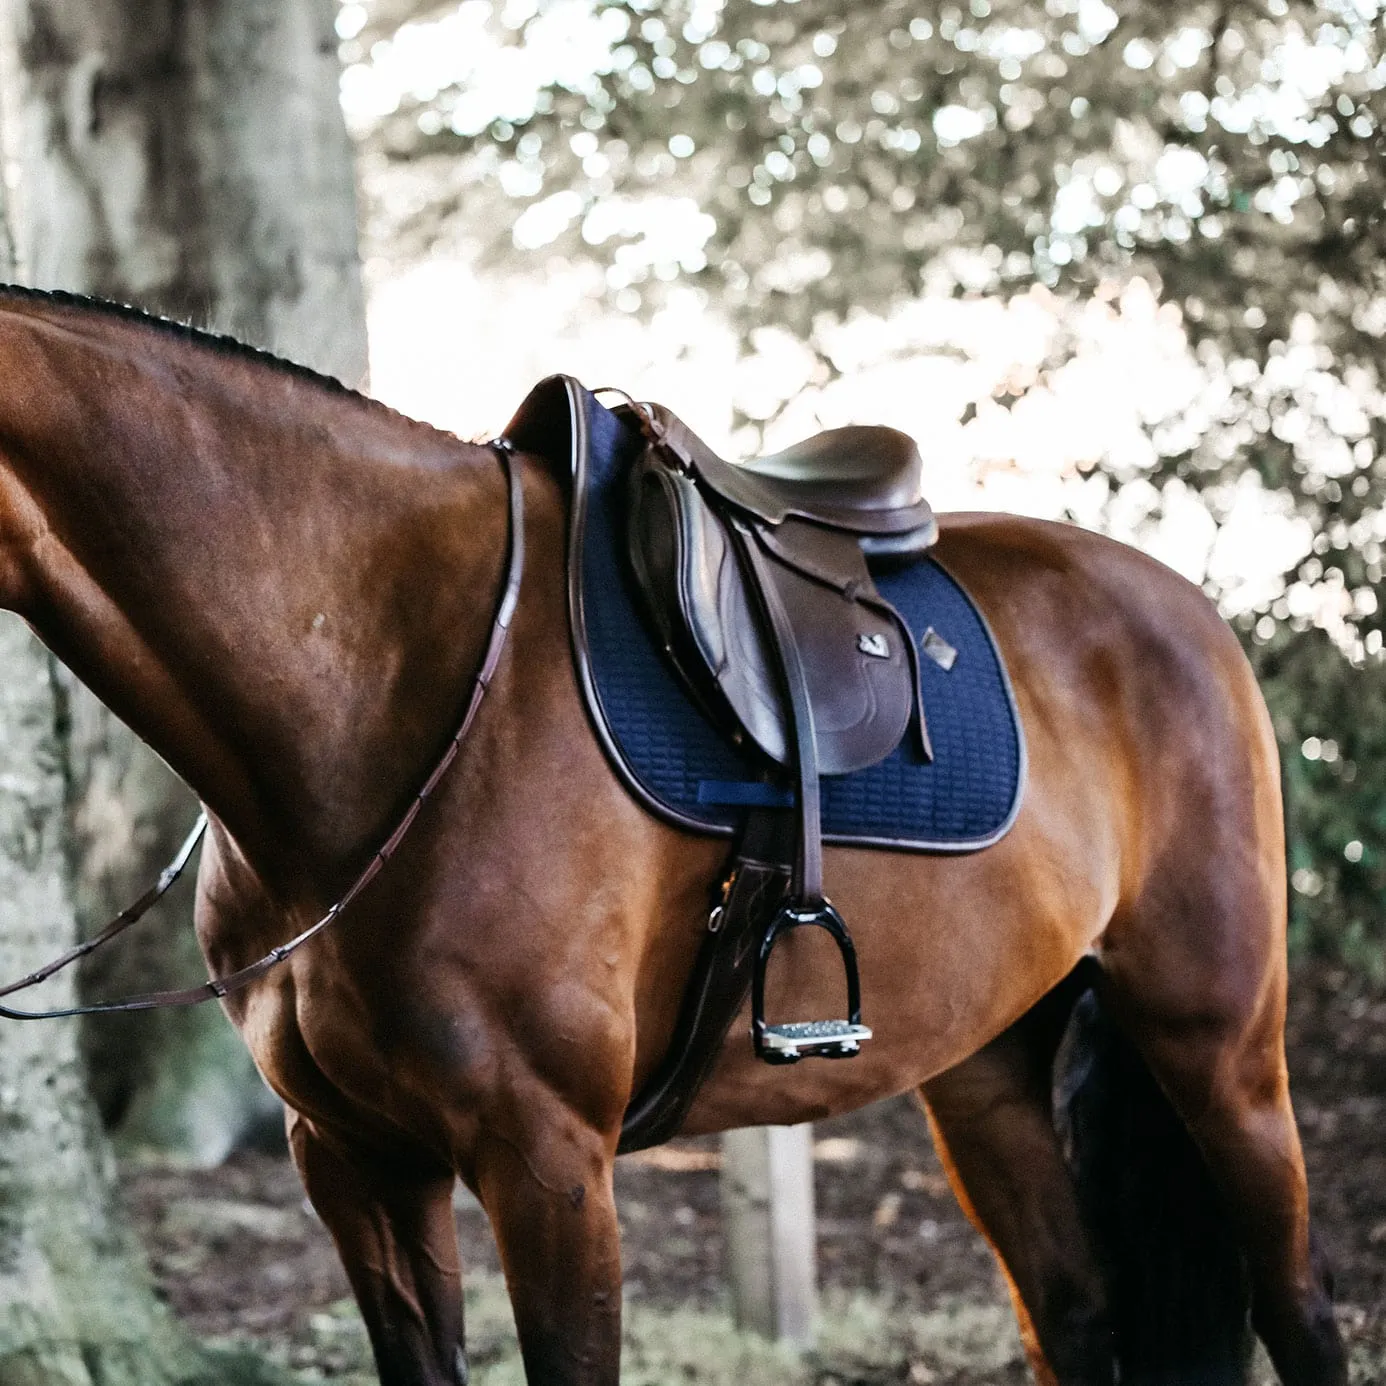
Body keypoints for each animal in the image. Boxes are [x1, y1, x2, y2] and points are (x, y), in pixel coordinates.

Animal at [0, 284, 1347, 1386]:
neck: (385, 693)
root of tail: (1186, 607)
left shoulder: (547, 1161)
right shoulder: (354, 1160)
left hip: (1220, 1050)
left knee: (1300, 1309)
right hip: (986, 1071)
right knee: (1074, 1316)